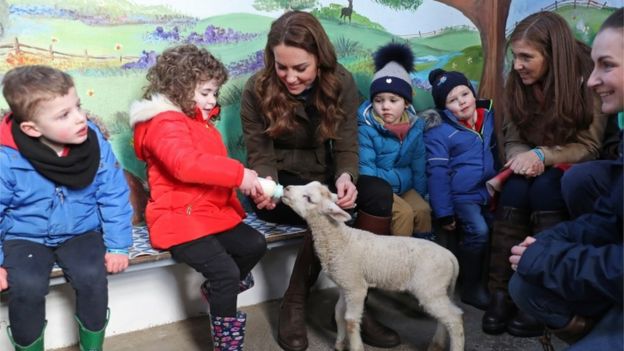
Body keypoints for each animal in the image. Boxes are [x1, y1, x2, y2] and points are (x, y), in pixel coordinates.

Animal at [282, 182, 464, 351]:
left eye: (309, 198)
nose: (286, 188)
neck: (339, 239)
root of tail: (450, 256)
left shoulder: (356, 287)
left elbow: (350, 320)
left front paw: (356, 346)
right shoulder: (345, 284)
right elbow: (339, 314)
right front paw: (340, 343)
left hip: (430, 287)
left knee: (455, 319)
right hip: (438, 290)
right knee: (445, 318)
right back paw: (437, 344)